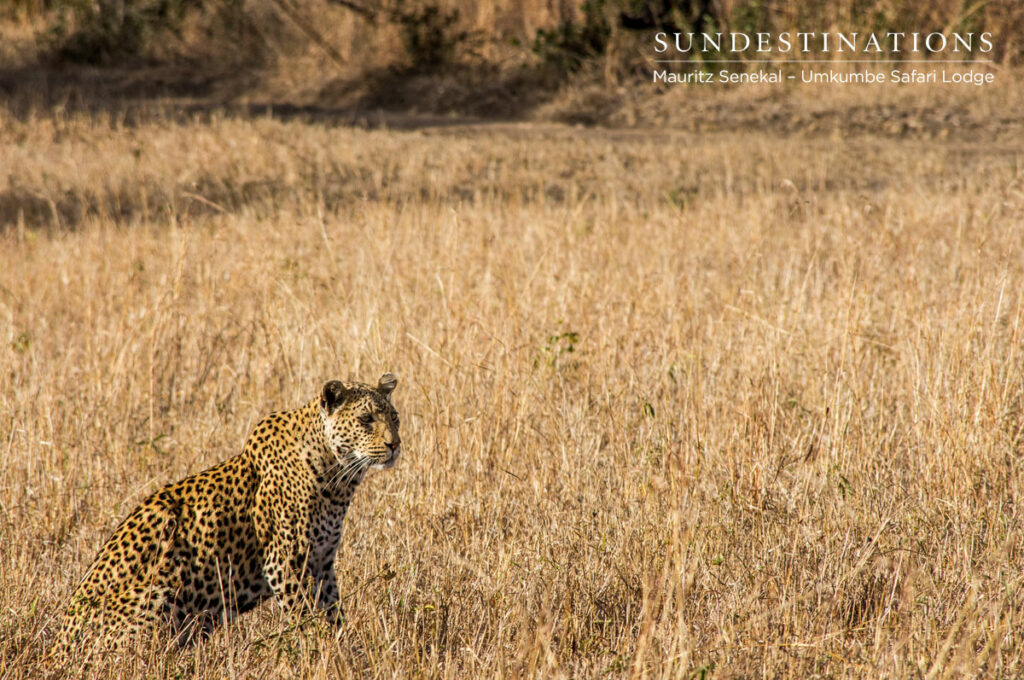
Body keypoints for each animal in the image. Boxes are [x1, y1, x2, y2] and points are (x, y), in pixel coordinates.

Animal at [53, 373, 401, 656]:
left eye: (395, 418)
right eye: (366, 419)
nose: (395, 444)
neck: (338, 476)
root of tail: (57, 648)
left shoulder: (321, 564)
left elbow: (333, 615)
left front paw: (344, 651)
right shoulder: (285, 563)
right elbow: (306, 620)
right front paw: (319, 653)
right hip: (162, 586)